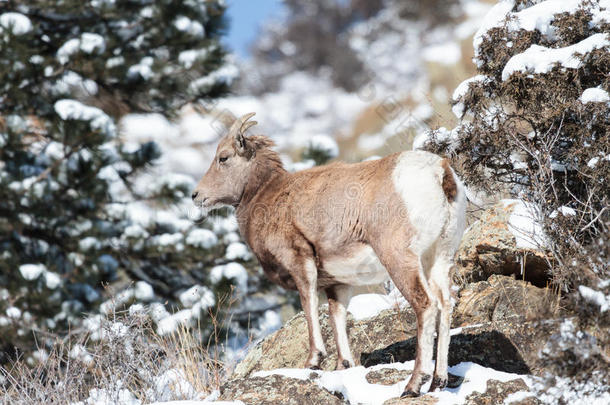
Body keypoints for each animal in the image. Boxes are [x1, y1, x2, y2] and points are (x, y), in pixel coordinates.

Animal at [192, 112, 464, 396]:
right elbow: (337, 316)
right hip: (438, 259)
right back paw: (438, 382)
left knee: (426, 305)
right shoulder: (338, 283)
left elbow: (309, 305)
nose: (196, 195)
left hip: (400, 260)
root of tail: (439, 172)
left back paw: (412, 386)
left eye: (223, 157)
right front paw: (343, 365)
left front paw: (313, 361)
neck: (269, 195)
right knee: (445, 305)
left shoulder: (300, 262)